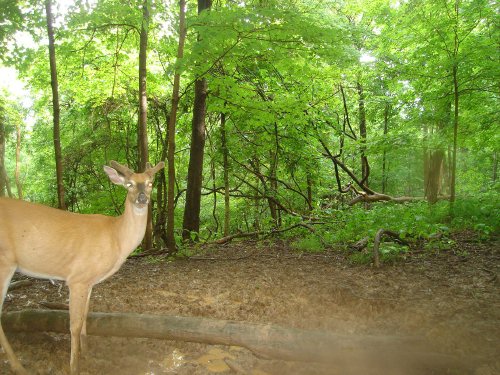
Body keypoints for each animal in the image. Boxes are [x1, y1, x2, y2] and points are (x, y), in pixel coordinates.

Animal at [0, 160, 165, 374]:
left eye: (150, 183)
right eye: (129, 184)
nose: (142, 198)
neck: (116, 237)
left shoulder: (89, 281)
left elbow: (86, 316)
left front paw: (86, 353)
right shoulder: (77, 278)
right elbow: (75, 325)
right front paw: (73, 366)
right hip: (4, 261)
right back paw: (17, 365)